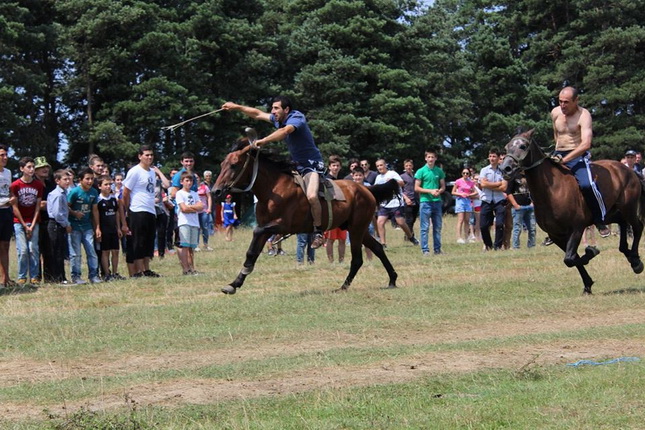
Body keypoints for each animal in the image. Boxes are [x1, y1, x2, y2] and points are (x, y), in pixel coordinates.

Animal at [214, 139, 400, 294]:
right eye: (222, 164)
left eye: (234, 165)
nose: (216, 191)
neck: (273, 189)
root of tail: (366, 189)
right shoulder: (268, 229)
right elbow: (252, 253)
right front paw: (234, 283)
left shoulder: (282, 226)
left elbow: (257, 232)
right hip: (356, 229)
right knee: (377, 248)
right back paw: (392, 279)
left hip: (356, 229)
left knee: (358, 259)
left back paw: (343, 287)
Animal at [498, 129, 644, 294]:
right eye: (506, 147)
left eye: (523, 146)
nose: (505, 168)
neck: (552, 190)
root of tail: (628, 170)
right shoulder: (556, 235)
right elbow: (572, 259)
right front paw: (587, 284)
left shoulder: (576, 229)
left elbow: (570, 258)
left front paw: (591, 252)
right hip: (611, 213)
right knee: (622, 222)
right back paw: (626, 251)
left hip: (628, 208)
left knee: (638, 227)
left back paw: (636, 261)